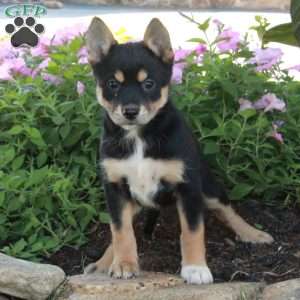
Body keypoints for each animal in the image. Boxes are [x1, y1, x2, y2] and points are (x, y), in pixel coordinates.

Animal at [84, 16, 274, 284]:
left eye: (149, 84)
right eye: (113, 84)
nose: (130, 111)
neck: (139, 136)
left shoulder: (188, 187)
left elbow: (192, 231)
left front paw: (195, 268)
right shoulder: (115, 188)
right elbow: (120, 231)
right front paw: (123, 263)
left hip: (209, 187)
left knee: (228, 209)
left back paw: (253, 234)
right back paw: (102, 262)